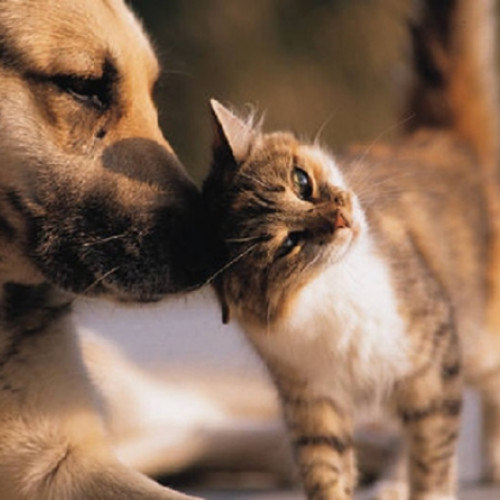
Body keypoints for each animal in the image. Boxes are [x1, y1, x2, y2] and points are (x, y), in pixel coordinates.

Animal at [202, 0, 500, 500]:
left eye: (302, 182)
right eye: (288, 244)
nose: (341, 220)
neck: (333, 287)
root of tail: (444, 139)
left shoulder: (432, 367)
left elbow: (433, 460)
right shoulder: (313, 401)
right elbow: (326, 471)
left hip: (480, 338)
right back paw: (391, 485)